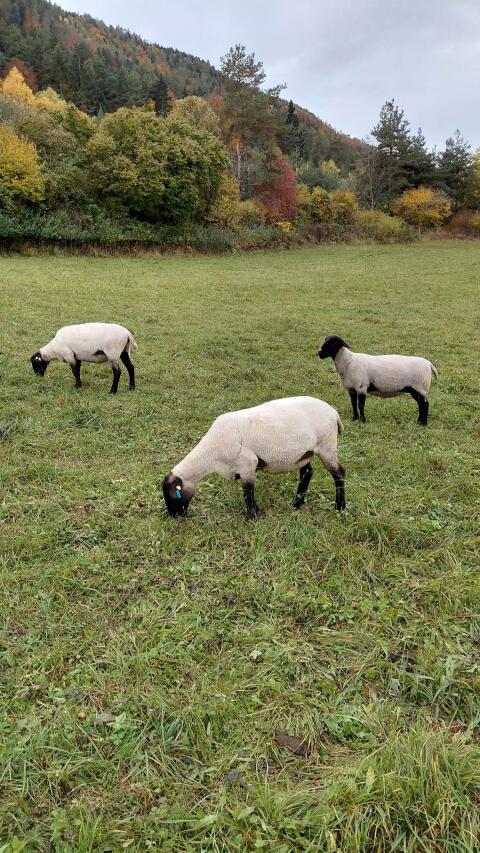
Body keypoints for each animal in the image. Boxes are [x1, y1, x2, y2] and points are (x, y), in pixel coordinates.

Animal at [162, 396, 345, 520]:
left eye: (173, 496)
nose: (176, 517)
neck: (210, 455)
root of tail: (333, 412)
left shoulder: (248, 464)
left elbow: (248, 491)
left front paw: (253, 516)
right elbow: (248, 491)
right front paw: (255, 513)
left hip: (327, 446)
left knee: (339, 473)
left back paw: (340, 507)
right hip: (303, 453)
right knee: (307, 472)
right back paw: (297, 503)